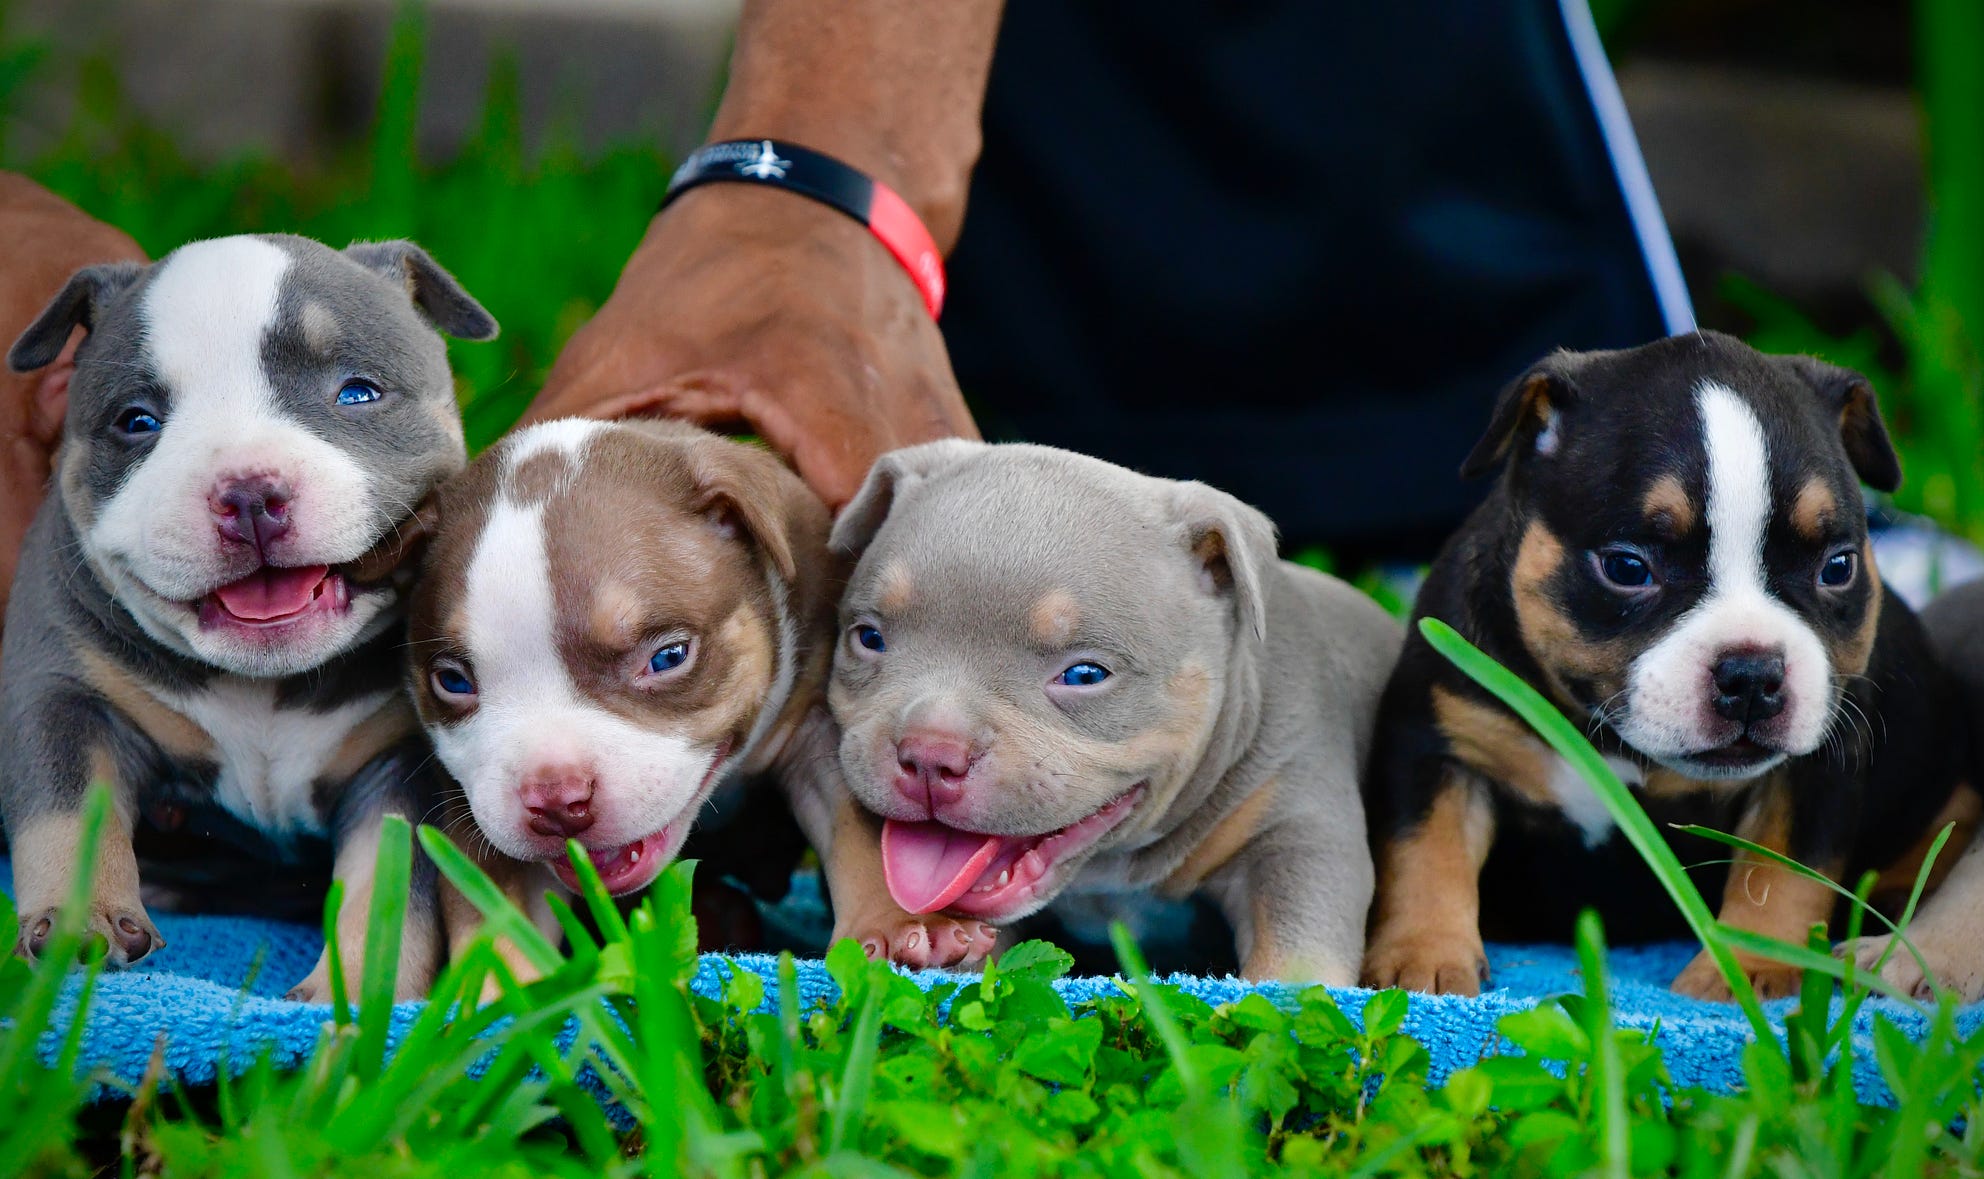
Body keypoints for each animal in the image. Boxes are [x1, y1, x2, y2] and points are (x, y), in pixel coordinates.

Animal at [0, 234, 496, 996]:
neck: (265, 683)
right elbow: (66, 807)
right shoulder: (65, 691)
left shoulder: (399, 762)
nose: (250, 493)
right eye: (136, 421)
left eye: (359, 392)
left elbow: (389, 887)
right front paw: (82, 922)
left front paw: (355, 992)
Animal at [410, 416, 845, 968]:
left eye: (668, 658)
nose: (558, 800)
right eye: (453, 682)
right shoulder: (472, 811)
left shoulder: (816, 720)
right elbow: (497, 926)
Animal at [813, 436, 1404, 976]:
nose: (930, 754)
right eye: (869, 638)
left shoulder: (1299, 829)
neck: (1109, 865)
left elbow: (1295, 967)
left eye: (1086, 675)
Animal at [1364, 325, 1968, 996]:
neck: (1608, 738)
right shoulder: (1441, 744)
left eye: (1838, 567)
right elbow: (1425, 849)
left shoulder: (1812, 770)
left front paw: (1748, 968)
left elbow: (1780, 870)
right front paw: (1423, 957)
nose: (1752, 674)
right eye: (1628, 568)